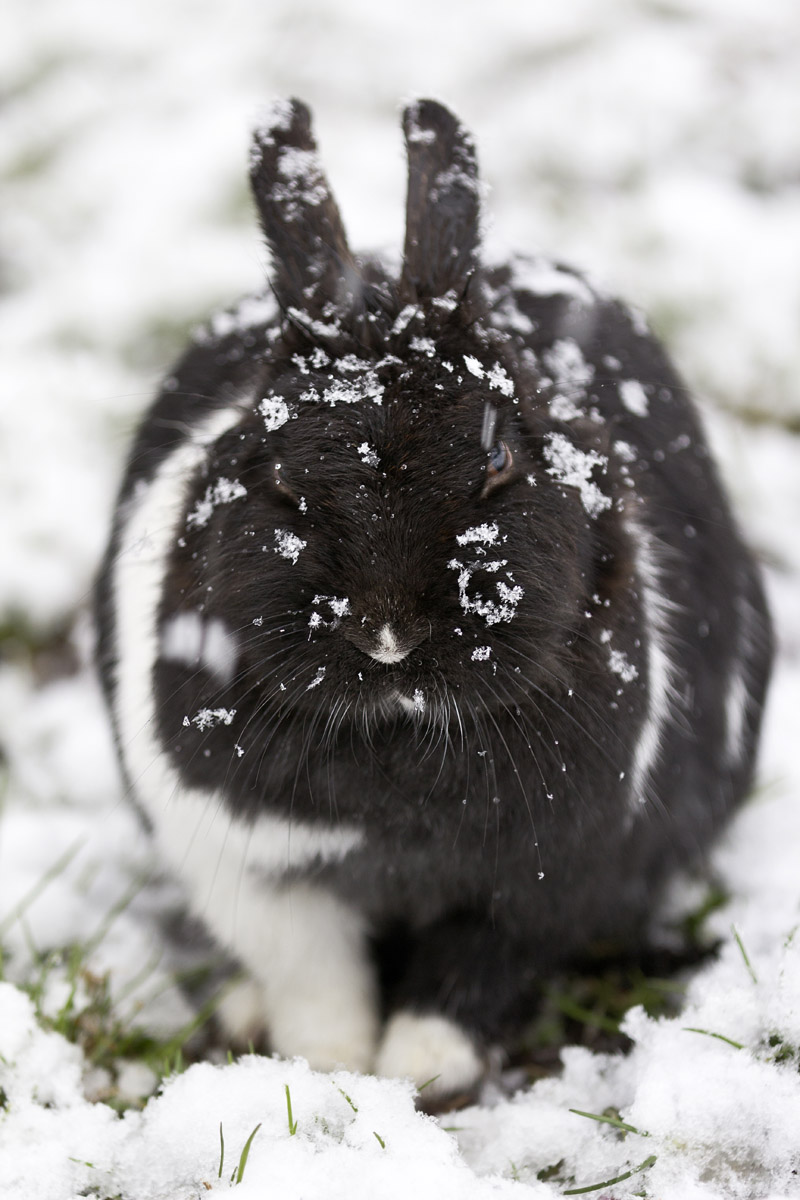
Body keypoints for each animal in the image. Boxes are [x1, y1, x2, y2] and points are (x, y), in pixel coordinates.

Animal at [95, 98, 773, 1098]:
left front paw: (422, 1070)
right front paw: (329, 1064)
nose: (387, 633)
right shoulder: (250, 869)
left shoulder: (550, 878)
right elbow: (315, 973)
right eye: (282, 479)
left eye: (497, 459)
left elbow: (475, 970)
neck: (397, 735)